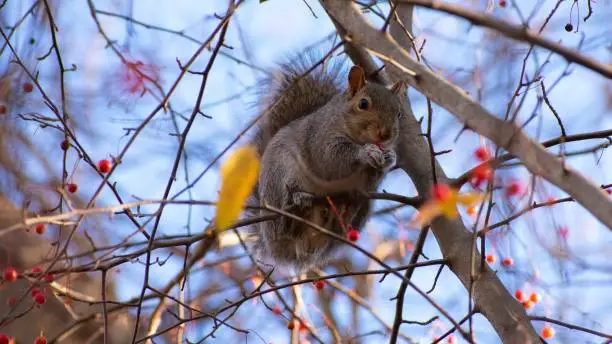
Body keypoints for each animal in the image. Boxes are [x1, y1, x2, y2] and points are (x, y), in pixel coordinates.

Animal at [246, 55, 404, 272]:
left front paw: (389, 157)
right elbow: (331, 159)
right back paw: (296, 205)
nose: (386, 135)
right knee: (282, 227)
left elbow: (375, 175)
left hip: (364, 206)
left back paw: (346, 211)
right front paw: (366, 152)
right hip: (279, 176)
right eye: (363, 104)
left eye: (399, 114)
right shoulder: (320, 138)